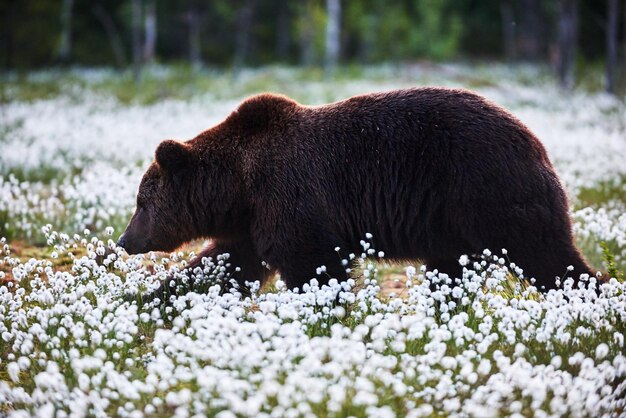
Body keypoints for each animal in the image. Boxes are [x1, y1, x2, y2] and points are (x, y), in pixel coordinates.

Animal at [117, 88, 588, 294]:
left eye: (142, 202)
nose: (124, 240)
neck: (239, 185)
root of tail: (535, 140)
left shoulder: (290, 194)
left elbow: (313, 263)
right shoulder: (254, 222)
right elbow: (225, 265)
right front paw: (153, 299)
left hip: (486, 187)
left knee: (545, 255)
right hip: (453, 226)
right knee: (449, 271)